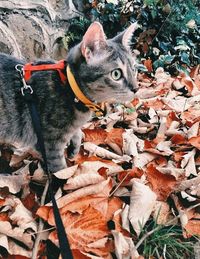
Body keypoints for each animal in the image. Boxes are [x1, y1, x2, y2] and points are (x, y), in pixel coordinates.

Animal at [0, 21, 138, 173]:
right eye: (116, 74)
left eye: (134, 69)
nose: (136, 88)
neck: (71, 90)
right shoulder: (49, 143)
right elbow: (59, 169)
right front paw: (62, 177)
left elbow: (77, 132)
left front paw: (74, 146)